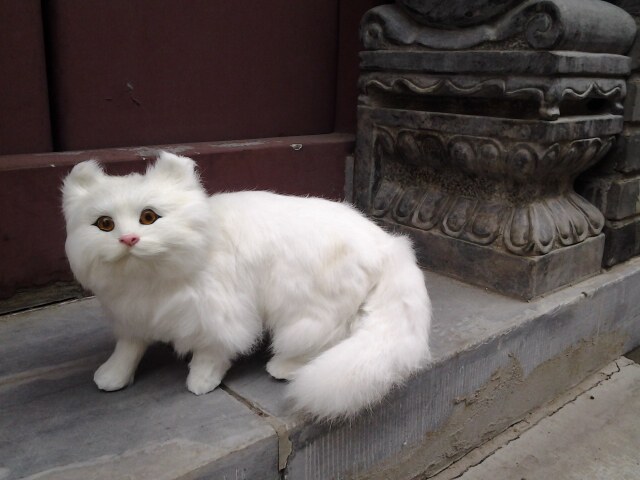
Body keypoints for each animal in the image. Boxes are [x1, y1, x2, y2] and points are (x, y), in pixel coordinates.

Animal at [62, 151, 432, 420]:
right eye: (105, 224)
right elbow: (128, 350)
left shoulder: (221, 316)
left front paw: (201, 382)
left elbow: (211, 352)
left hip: (305, 310)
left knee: (330, 336)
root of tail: (387, 244)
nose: (128, 239)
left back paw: (285, 368)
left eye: (149, 217)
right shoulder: (132, 318)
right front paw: (111, 376)